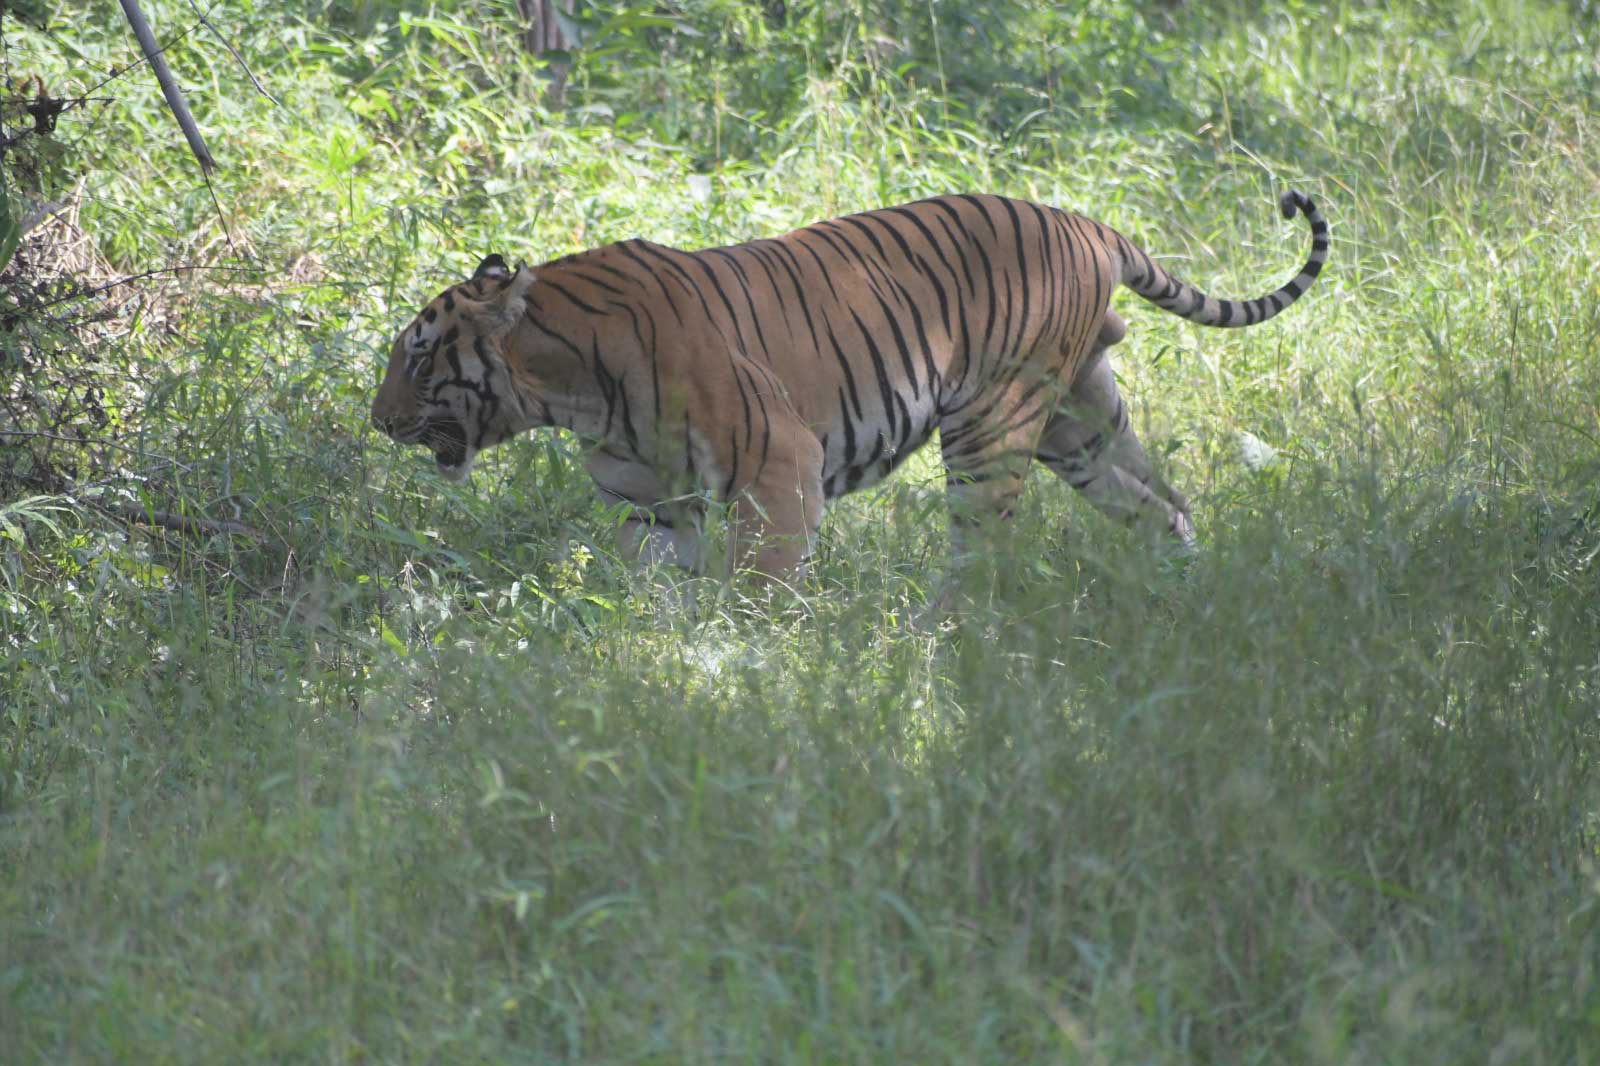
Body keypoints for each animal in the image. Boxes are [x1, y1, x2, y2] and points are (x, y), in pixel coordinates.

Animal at [372, 190, 1328, 578]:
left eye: (418, 359)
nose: (379, 423)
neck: (565, 389)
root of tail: (1089, 223)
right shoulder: (649, 508)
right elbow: (655, 599)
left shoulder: (776, 468)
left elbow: (761, 587)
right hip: (1080, 422)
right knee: (1166, 502)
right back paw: (1189, 592)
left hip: (992, 426)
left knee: (982, 556)